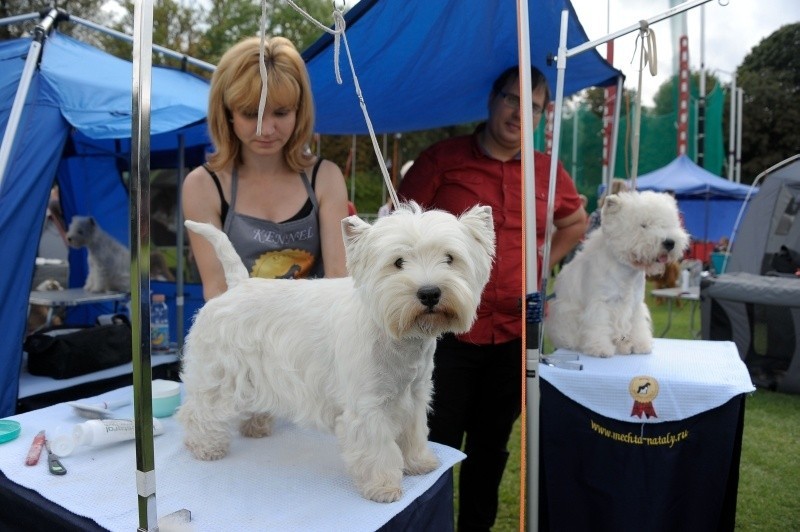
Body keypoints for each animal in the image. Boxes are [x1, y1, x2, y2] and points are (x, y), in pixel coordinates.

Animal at [178, 203, 496, 502]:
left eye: (450, 258)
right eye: (398, 262)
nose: (429, 293)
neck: (395, 334)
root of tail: (238, 284)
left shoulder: (415, 393)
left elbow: (414, 431)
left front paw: (419, 463)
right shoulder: (367, 405)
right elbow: (378, 447)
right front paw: (383, 486)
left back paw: (256, 426)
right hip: (218, 371)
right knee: (199, 409)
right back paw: (206, 446)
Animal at [548, 190, 692, 358]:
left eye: (667, 224)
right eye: (643, 225)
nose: (669, 243)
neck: (627, 270)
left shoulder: (635, 304)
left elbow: (637, 326)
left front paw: (641, 345)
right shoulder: (600, 303)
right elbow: (599, 326)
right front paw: (601, 349)